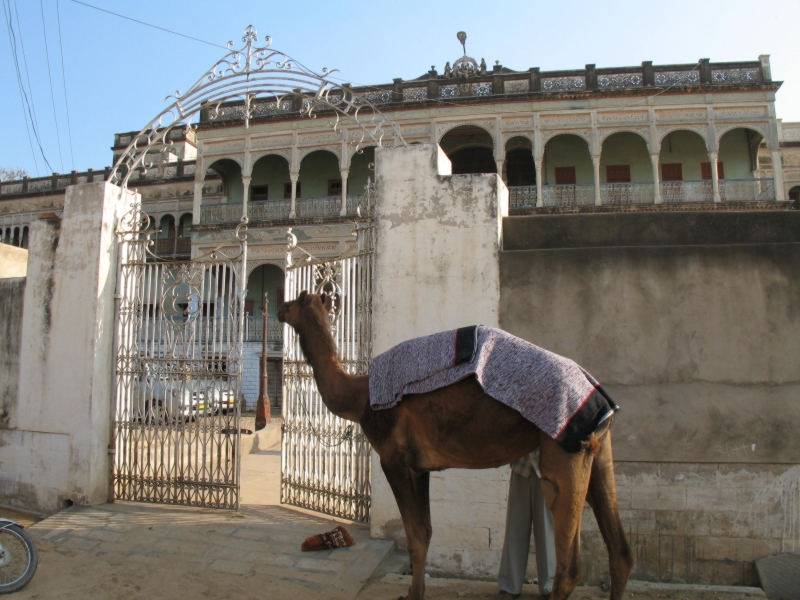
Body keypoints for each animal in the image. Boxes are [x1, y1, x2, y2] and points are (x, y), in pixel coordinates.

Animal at [278, 292, 636, 600]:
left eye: (296, 300)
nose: (280, 307)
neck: (359, 398)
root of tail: (597, 393)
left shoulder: (392, 458)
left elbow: (414, 535)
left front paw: (412, 596)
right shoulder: (419, 466)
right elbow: (425, 532)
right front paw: (415, 591)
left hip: (563, 455)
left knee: (570, 567)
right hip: (598, 451)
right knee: (621, 551)